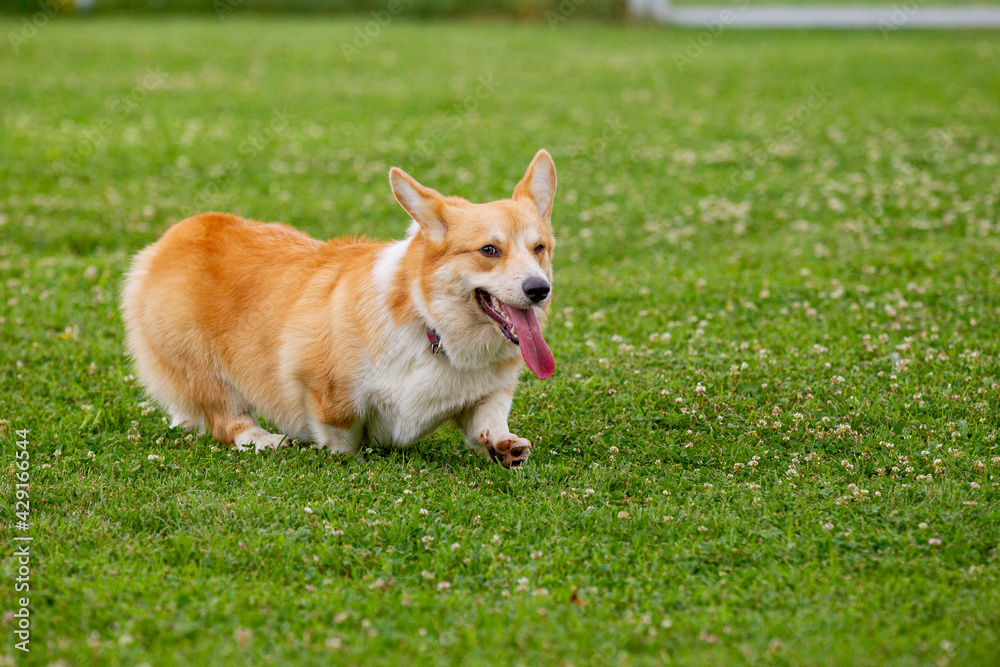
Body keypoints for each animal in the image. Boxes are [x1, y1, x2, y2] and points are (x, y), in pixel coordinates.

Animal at [122, 150, 560, 470]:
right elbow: (341, 436)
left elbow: (488, 420)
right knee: (226, 418)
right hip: (199, 365)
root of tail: (172, 238)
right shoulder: (322, 387)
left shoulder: (490, 390)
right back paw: (263, 438)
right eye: (489, 250)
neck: (431, 325)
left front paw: (505, 446)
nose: (539, 289)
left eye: (539, 248)